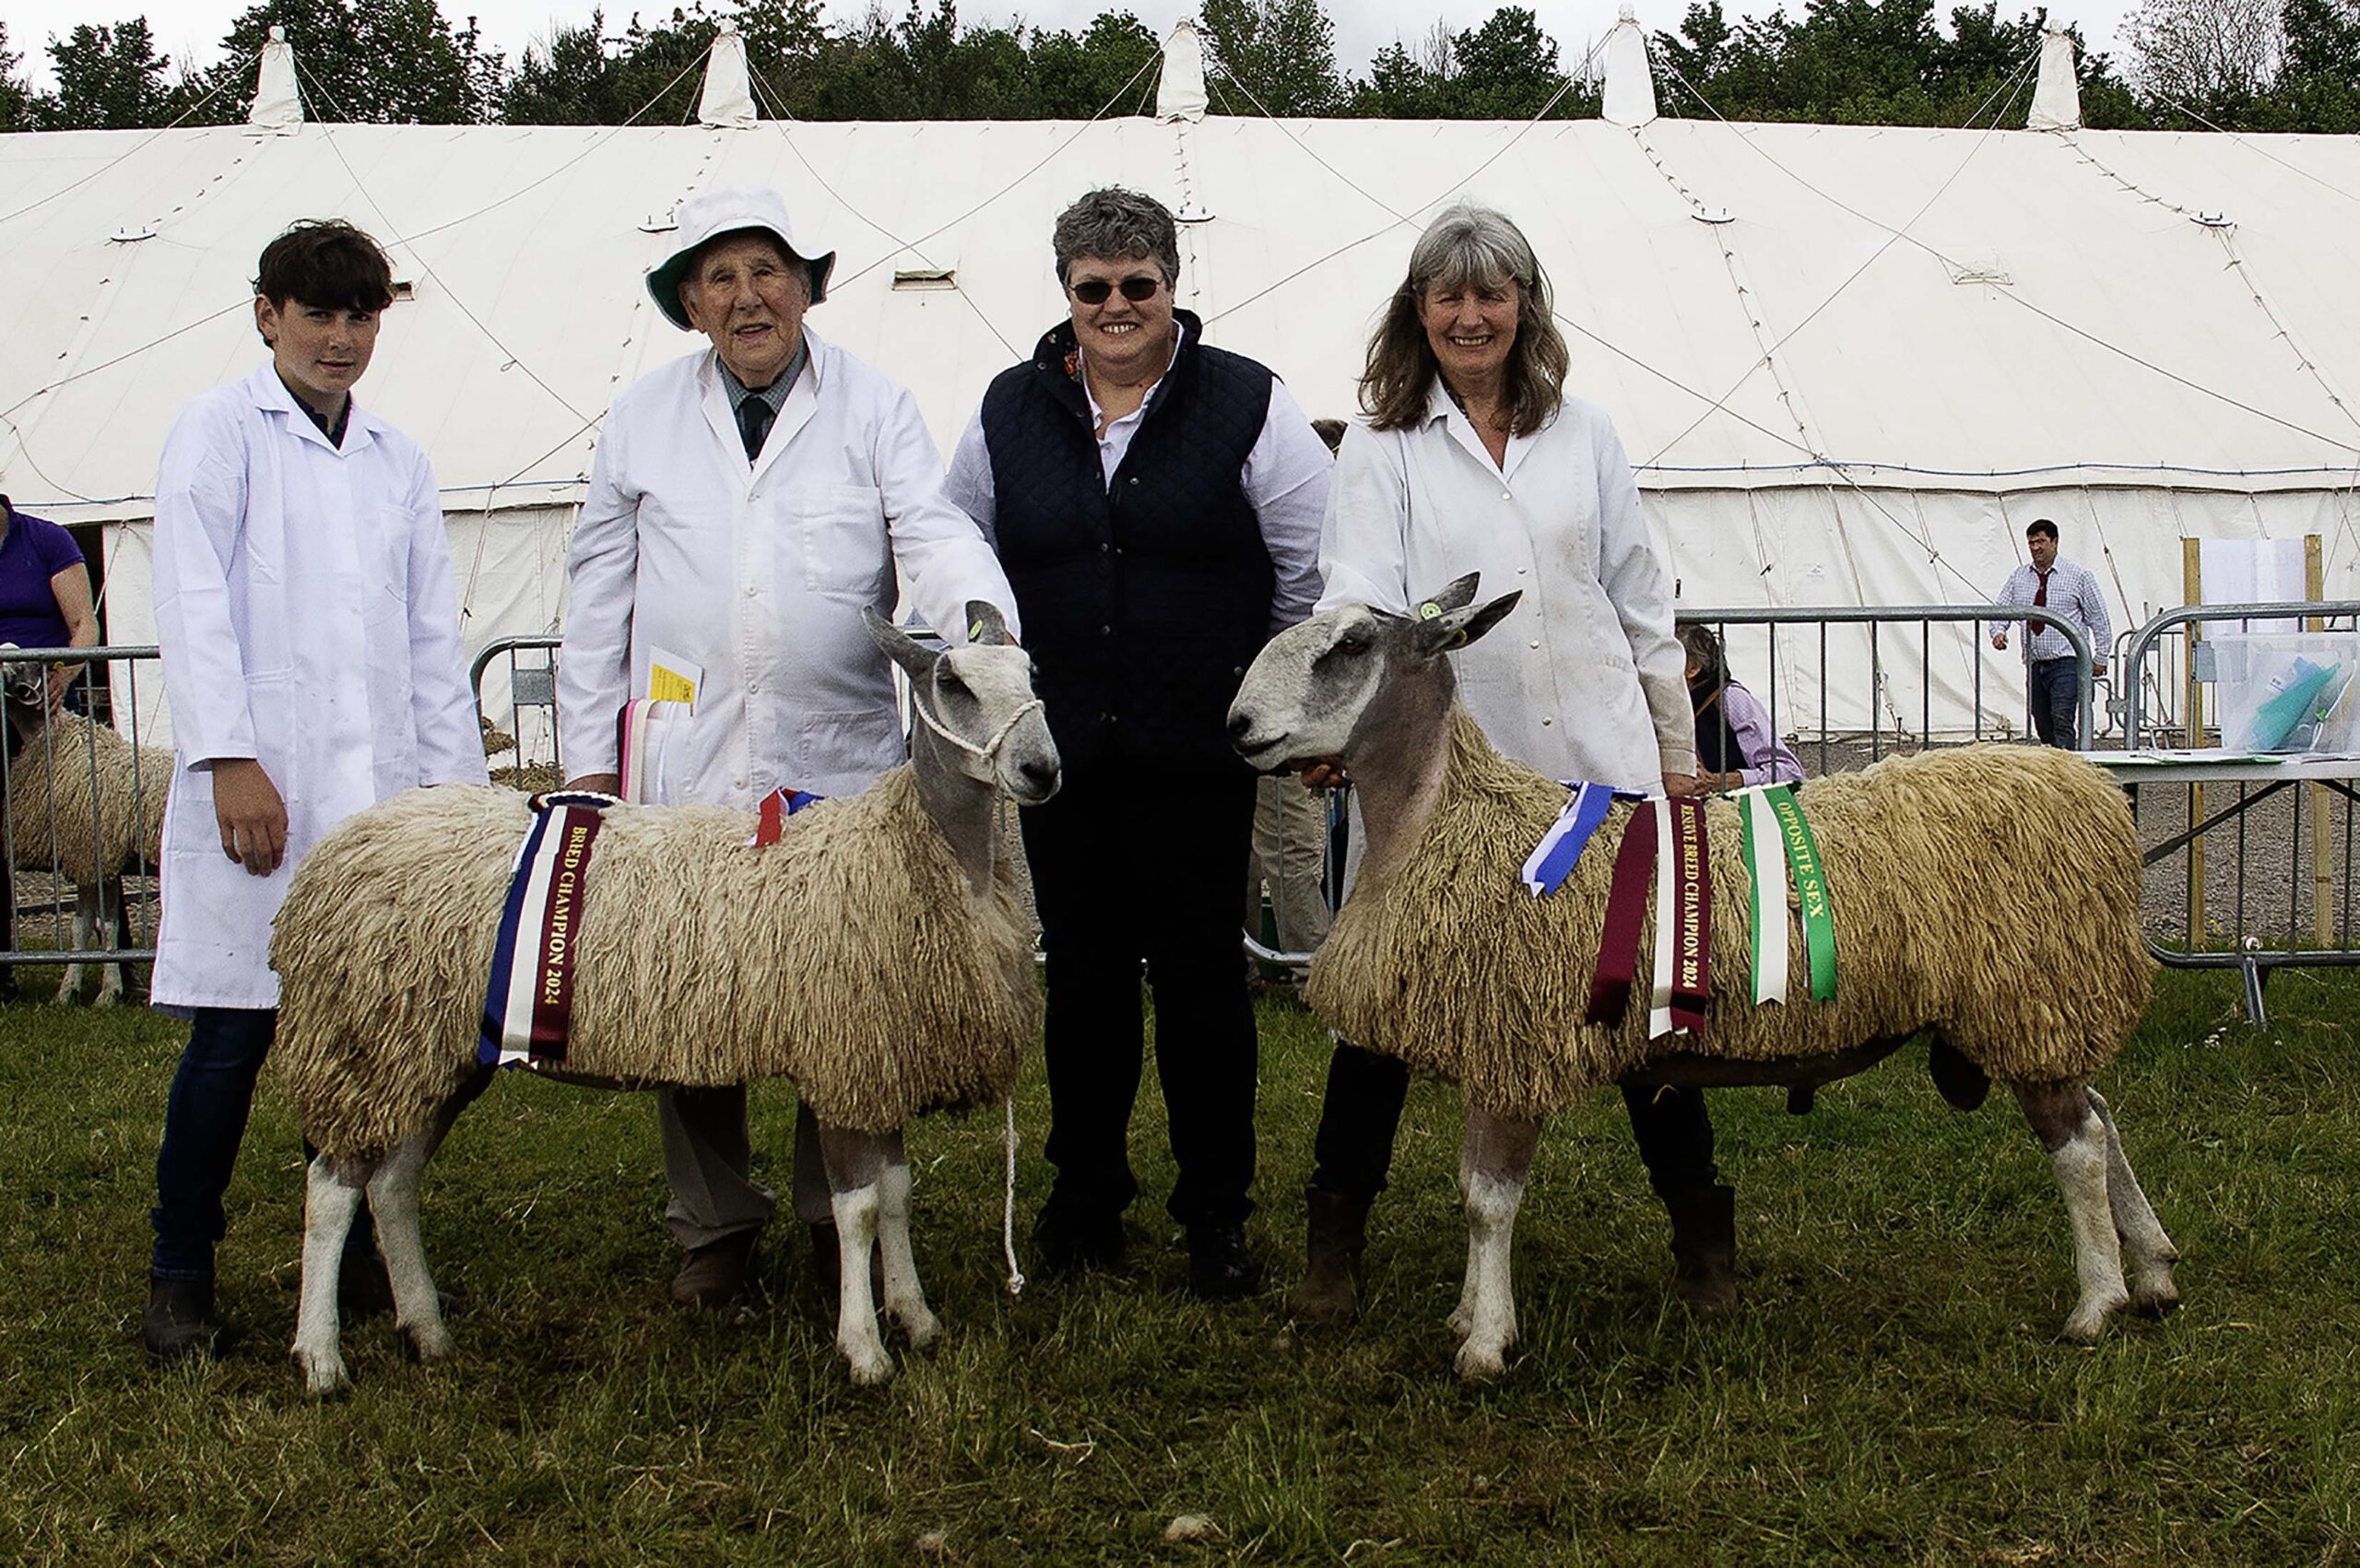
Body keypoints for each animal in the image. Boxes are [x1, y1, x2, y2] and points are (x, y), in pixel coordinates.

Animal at [1, 652, 169, 1006]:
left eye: (19, 664)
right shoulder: (94, 864)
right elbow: (84, 927)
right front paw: (70, 993)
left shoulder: (94, 856)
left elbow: (104, 927)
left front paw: (104, 993)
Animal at [271, 604, 1056, 1388]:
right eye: (953, 683)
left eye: (1030, 672)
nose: (1041, 769)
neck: (923, 854)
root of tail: (332, 852)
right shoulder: (845, 1060)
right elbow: (859, 1211)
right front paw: (864, 1349)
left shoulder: (882, 1062)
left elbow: (896, 1196)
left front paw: (917, 1318)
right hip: (366, 1039)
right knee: (332, 1191)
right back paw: (321, 1358)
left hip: (432, 1048)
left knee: (392, 1184)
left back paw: (427, 1330)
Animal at [1227, 578, 2180, 1388]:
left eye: (1352, 644)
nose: (1237, 724)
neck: (1445, 822)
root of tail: (2091, 788)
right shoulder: (1494, 1047)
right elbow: (1474, 1190)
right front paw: (1469, 1316)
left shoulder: (1515, 1050)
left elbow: (1489, 1203)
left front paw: (1487, 1344)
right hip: (2041, 1002)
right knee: (2102, 1119)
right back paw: (2155, 1271)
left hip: (2026, 993)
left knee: (2077, 1144)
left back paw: (2096, 1303)